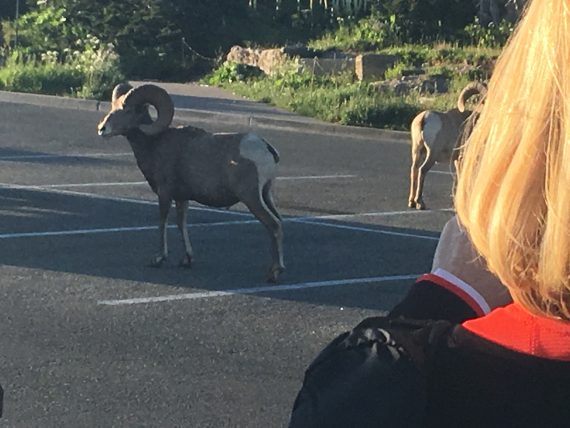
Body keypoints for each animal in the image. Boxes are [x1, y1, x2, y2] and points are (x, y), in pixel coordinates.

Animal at [98, 84, 286, 282]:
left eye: (128, 110)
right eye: (113, 106)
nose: (102, 129)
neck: (155, 144)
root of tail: (266, 148)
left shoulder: (165, 193)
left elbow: (163, 222)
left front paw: (158, 259)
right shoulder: (182, 198)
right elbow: (181, 224)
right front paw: (187, 260)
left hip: (251, 198)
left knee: (274, 225)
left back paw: (274, 272)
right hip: (265, 195)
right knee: (279, 222)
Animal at [406, 81, 486, 210]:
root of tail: (424, 118)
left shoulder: (457, 160)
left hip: (417, 151)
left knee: (414, 170)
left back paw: (411, 202)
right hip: (432, 154)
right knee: (422, 170)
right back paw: (420, 203)